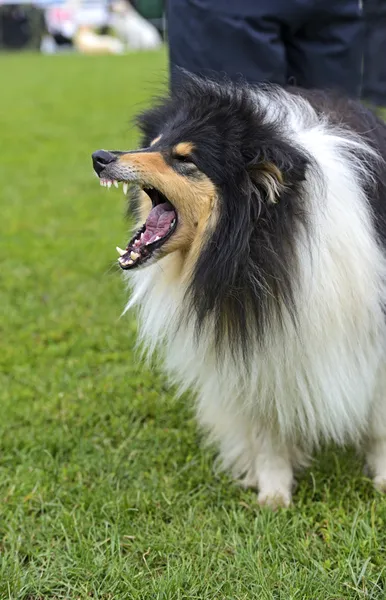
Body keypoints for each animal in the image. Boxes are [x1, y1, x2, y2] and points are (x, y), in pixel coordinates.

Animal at [92, 72, 386, 508]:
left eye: (185, 159)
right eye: (153, 144)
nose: (99, 157)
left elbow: (380, 424)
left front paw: (383, 481)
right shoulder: (255, 348)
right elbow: (267, 432)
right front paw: (274, 496)